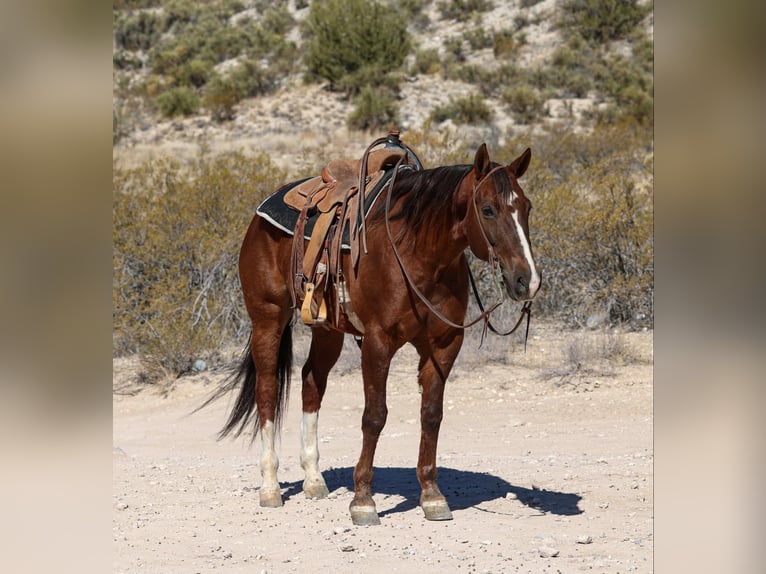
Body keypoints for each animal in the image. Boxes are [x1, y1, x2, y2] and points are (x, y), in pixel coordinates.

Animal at [206, 142, 541, 526]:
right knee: (267, 389)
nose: (527, 281)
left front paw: (432, 495)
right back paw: (270, 486)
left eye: (527, 207)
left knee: (311, 382)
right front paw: (363, 500)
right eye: (487, 209)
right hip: (267, 318)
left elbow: (431, 414)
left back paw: (314, 479)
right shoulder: (379, 341)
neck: (419, 253)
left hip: (328, 330)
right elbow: (374, 416)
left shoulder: (443, 345)